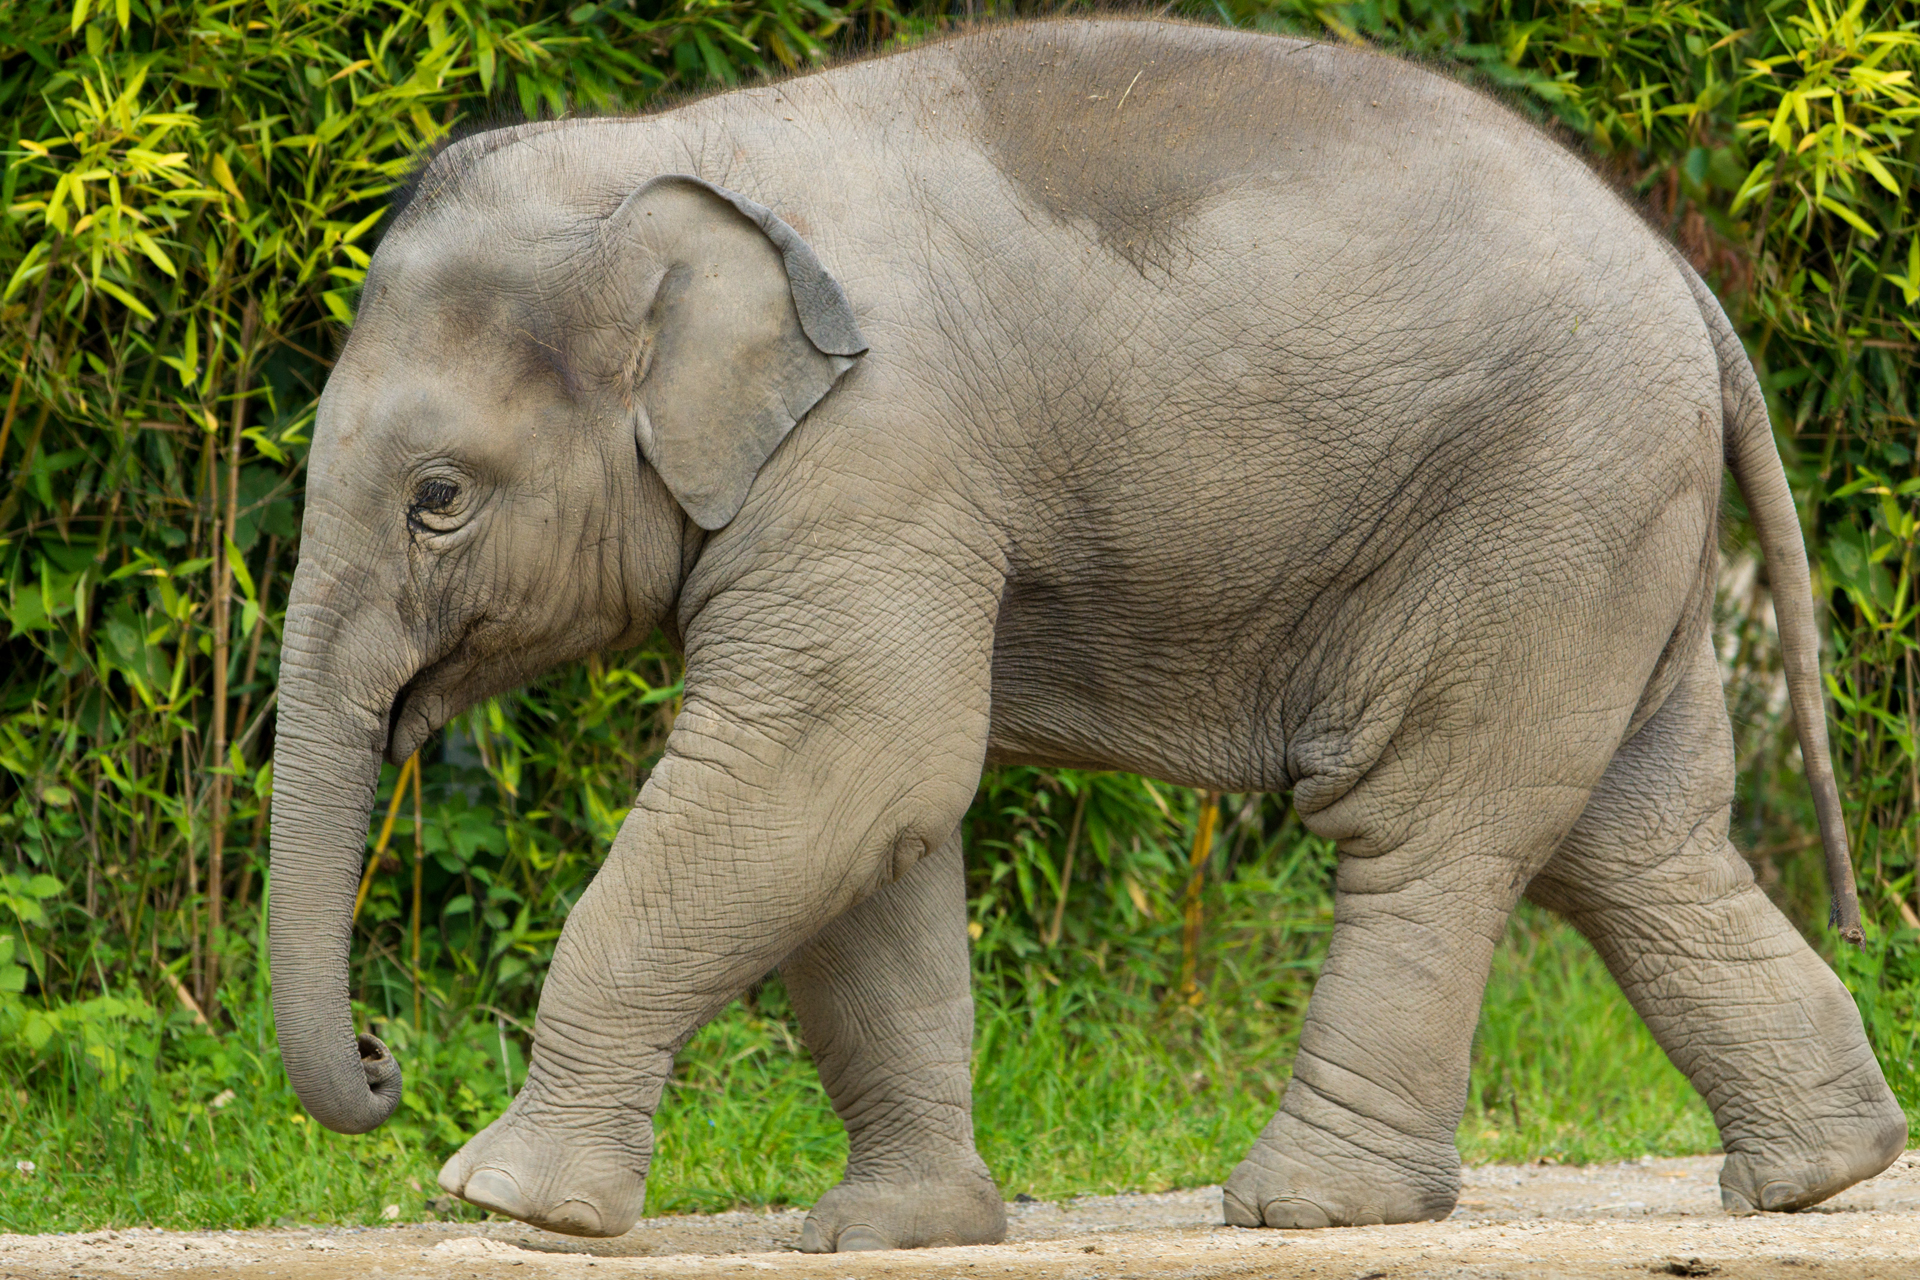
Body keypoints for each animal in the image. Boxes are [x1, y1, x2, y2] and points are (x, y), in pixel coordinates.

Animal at [266, 14, 1904, 1258]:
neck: (675, 156)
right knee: (1636, 839)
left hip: (1536, 504)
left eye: (437, 500)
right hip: (1611, 532)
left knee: (1424, 829)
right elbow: (875, 833)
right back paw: (1821, 1173)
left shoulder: (879, 452)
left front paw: (508, 1203)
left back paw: (1307, 1209)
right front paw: (889, 1234)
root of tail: (1690, 286)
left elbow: (842, 762)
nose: (381, 1060)